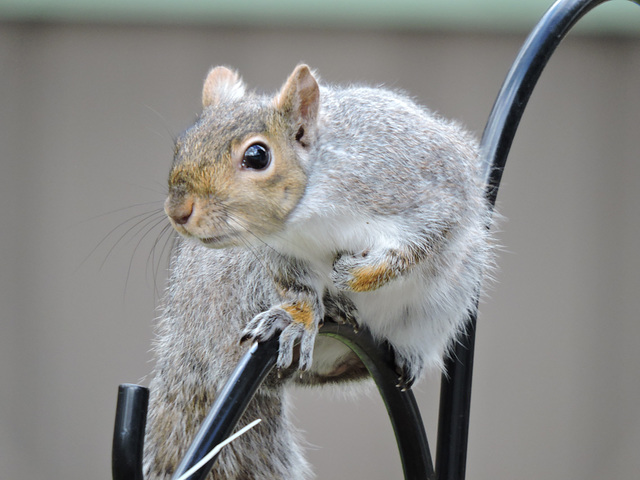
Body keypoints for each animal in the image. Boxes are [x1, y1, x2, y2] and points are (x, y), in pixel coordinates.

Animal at [145, 64, 492, 480]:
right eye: (182, 144)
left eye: (257, 156)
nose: (177, 211)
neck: (310, 204)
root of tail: (189, 343)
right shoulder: (276, 251)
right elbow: (297, 287)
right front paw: (298, 316)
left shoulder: (422, 194)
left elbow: (418, 245)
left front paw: (355, 275)